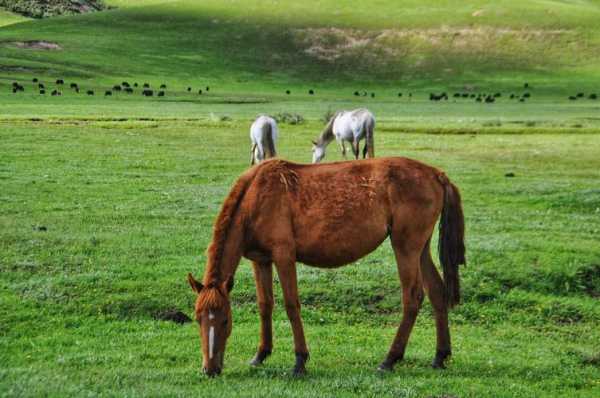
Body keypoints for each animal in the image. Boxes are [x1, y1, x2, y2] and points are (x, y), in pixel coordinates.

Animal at [188, 156, 464, 376]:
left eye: (225, 320)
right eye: (198, 318)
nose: (210, 369)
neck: (255, 195)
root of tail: (436, 174)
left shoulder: (284, 256)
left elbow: (291, 305)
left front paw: (300, 361)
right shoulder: (261, 260)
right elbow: (265, 305)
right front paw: (261, 354)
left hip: (405, 247)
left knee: (412, 297)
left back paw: (390, 359)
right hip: (420, 250)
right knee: (436, 292)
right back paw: (440, 356)